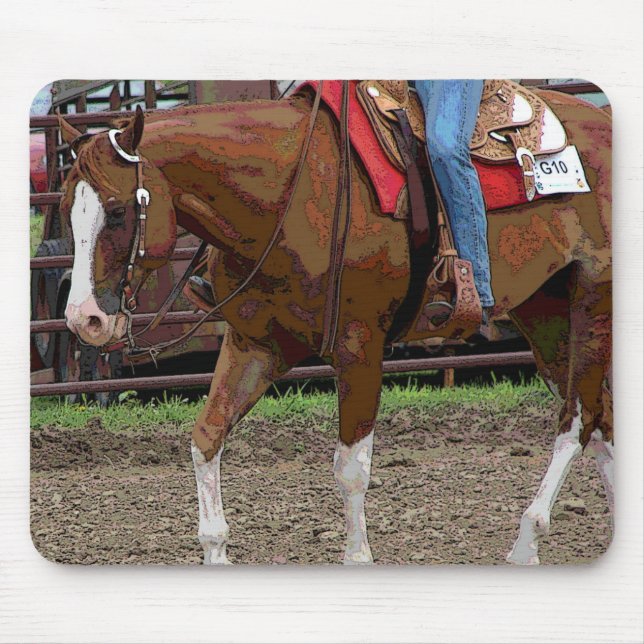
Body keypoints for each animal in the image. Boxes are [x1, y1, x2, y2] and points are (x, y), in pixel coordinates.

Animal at [58, 84, 612, 565]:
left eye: (117, 210)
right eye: (66, 210)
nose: (84, 319)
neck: (292, 194)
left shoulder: (360, 346)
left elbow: (351, 469)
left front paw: (357, 557)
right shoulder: (255, 344)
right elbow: (206, 436)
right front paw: (215, 549)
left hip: (593, 297)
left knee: (577, 420)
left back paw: (526, 540)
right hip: (543, 310)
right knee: (601, 423)